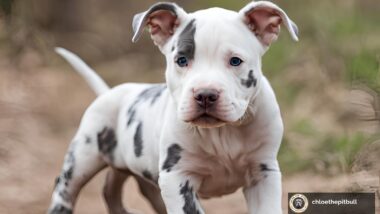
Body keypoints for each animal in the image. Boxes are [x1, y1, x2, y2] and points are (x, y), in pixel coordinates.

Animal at [47, 0, 298, 213]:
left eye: (235, 61)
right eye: (181, 60)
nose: (205, 95)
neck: (222, 134)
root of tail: (108, 92)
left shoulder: (263, 173)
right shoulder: (177, 177)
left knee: (112, 189)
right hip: (82, 158)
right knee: (65, 189)